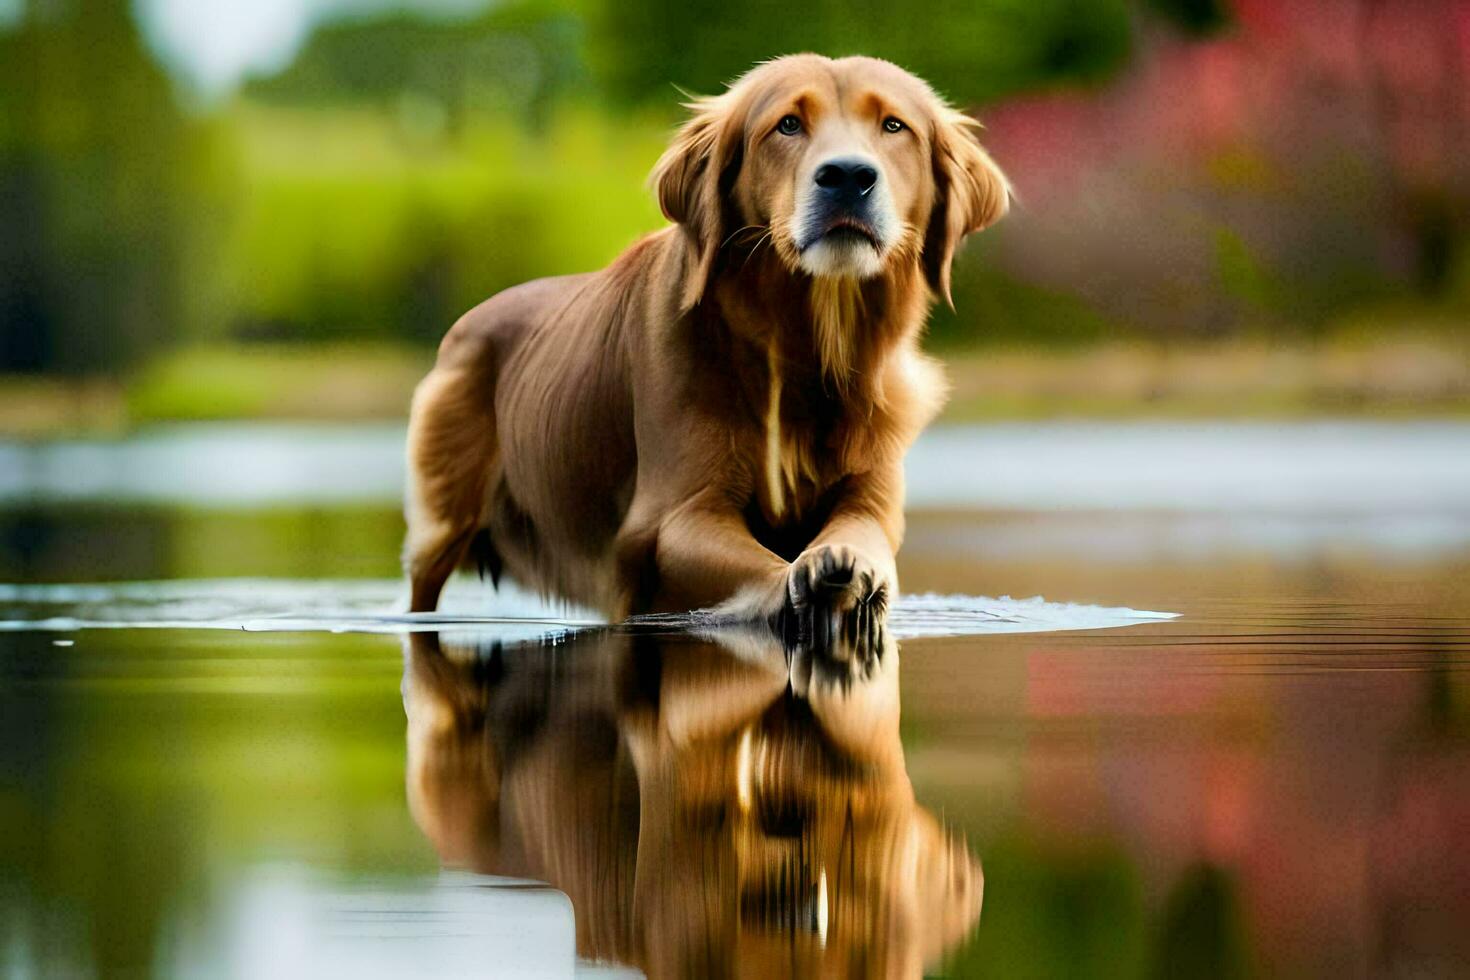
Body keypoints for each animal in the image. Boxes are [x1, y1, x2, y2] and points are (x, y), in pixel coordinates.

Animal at [405, 53, 1011, 628]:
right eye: (787, 124)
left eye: (893, 125)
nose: (847, 176)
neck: (802, 343)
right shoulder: (673, 517)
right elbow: (750, 565)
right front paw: (800, 583)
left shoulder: (873, 493)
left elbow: (863, 532)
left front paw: (843, 565)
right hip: (440, 526)